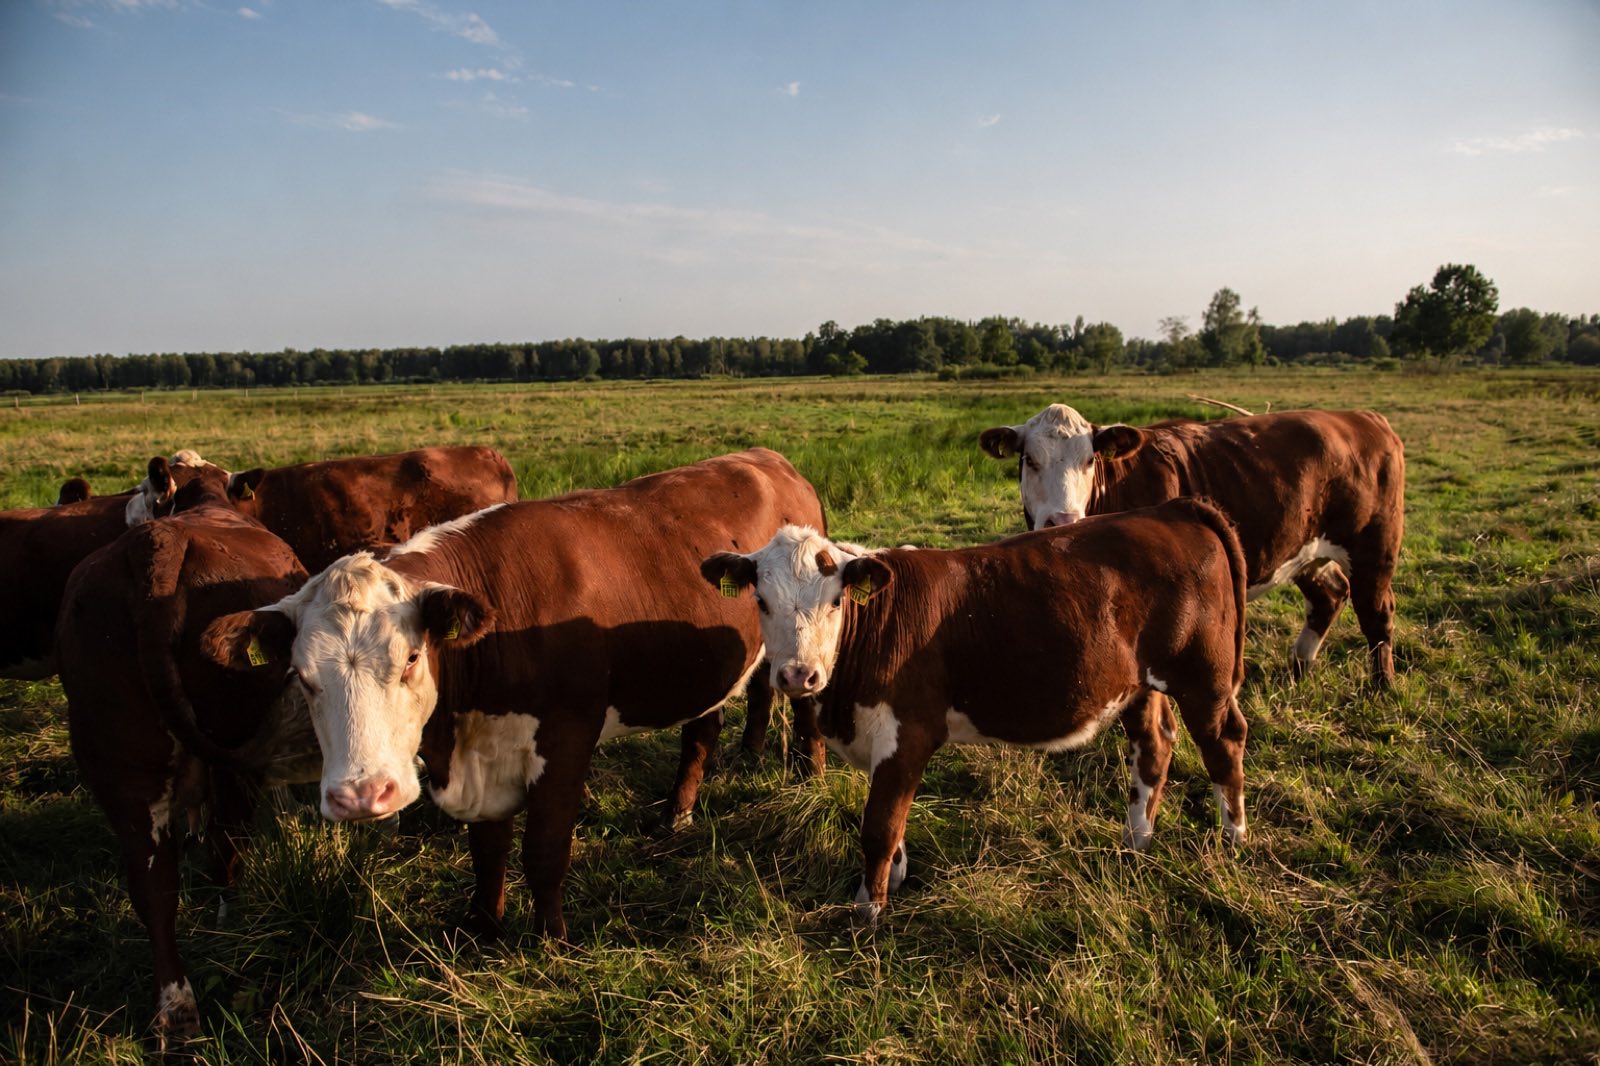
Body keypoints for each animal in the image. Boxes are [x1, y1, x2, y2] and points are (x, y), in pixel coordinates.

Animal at [56, 458, 317, 1043]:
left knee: (154, 885)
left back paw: (176, 1008)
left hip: (120, 762)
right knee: (225, 841)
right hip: (226, 748)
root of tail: (155, 550)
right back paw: (228, 921)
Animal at [202, 448, 827, 940]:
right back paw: (684, 806)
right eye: (303, 676)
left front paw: (551, 940)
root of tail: (769, 458)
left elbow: (544, 850)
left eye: (410, 659)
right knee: (707, 725)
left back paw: (810, 771)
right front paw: (483, 925)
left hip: (802, 641)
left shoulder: (568, 738)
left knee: (802, 697)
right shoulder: (482, 754)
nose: (362, 796)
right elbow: (488, 848)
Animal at [701, 498, 1250, 922]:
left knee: (1223, 743)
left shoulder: (909, 734)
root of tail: (1170, 509)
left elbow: (879, 825)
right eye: (762, 601)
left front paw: (868, 911)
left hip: (1205, 677)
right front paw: (892, 882)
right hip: (1138, 683)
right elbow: (892, 819)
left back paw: (1232, 839)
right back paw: (1136, 841)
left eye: (836, 602)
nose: (798, 676)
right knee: (1153, 746)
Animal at [979, 404, 1404, 687]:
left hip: (1375, 546)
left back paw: (1381, 685)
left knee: (1377, 613)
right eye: (1030, 460)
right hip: (1305, 549)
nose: (1062, 520)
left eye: (1089, 460)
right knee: (1329, 595)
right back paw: (1300, 667)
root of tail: (1365, 417)